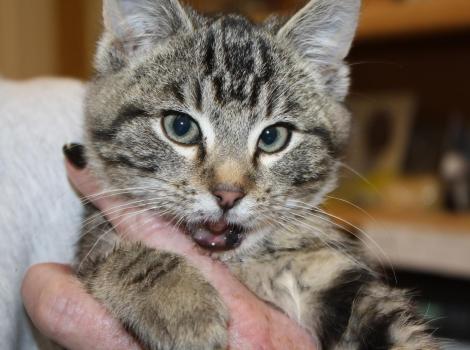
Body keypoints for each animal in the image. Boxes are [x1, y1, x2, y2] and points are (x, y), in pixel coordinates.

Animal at [76, 0, 440, 348]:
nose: (228, 194)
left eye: (273, 137)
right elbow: (107, 257)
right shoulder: (90, 247)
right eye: (180, 127)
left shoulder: (330, 273)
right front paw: (179, 302)